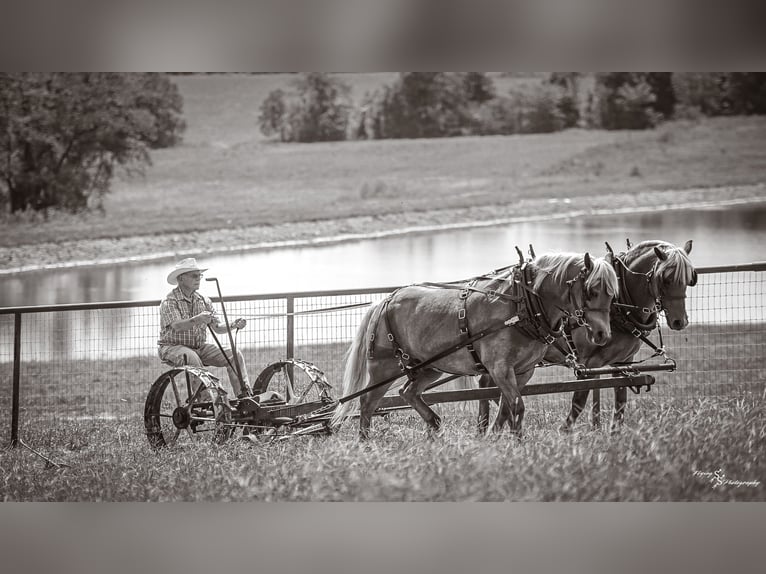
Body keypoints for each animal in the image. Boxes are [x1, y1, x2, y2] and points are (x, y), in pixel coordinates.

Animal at [330, 251, 619, 439]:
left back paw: (434, 425)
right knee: (367, 403)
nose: (603, 334)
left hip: (428, 367)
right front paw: (514, 443)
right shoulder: (500, 368)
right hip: (384, 366)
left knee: (408, 392)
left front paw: (502, 440)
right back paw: (365, 443)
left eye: (611, 293)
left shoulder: (523, 371)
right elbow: (516, 407)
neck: (521, 303)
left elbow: (507, 408)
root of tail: (386, 300)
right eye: (592, 290)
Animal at [477, 239, 697, 434]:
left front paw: (614, 433)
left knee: (487, 385)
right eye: (666, 279)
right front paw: (565, 431)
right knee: (489, 386)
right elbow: (580, 400)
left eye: (689, 279)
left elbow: (621, 399)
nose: (680, 321)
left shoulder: (624, 362)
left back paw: (484, 426)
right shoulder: (589, 363)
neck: (619, 306)